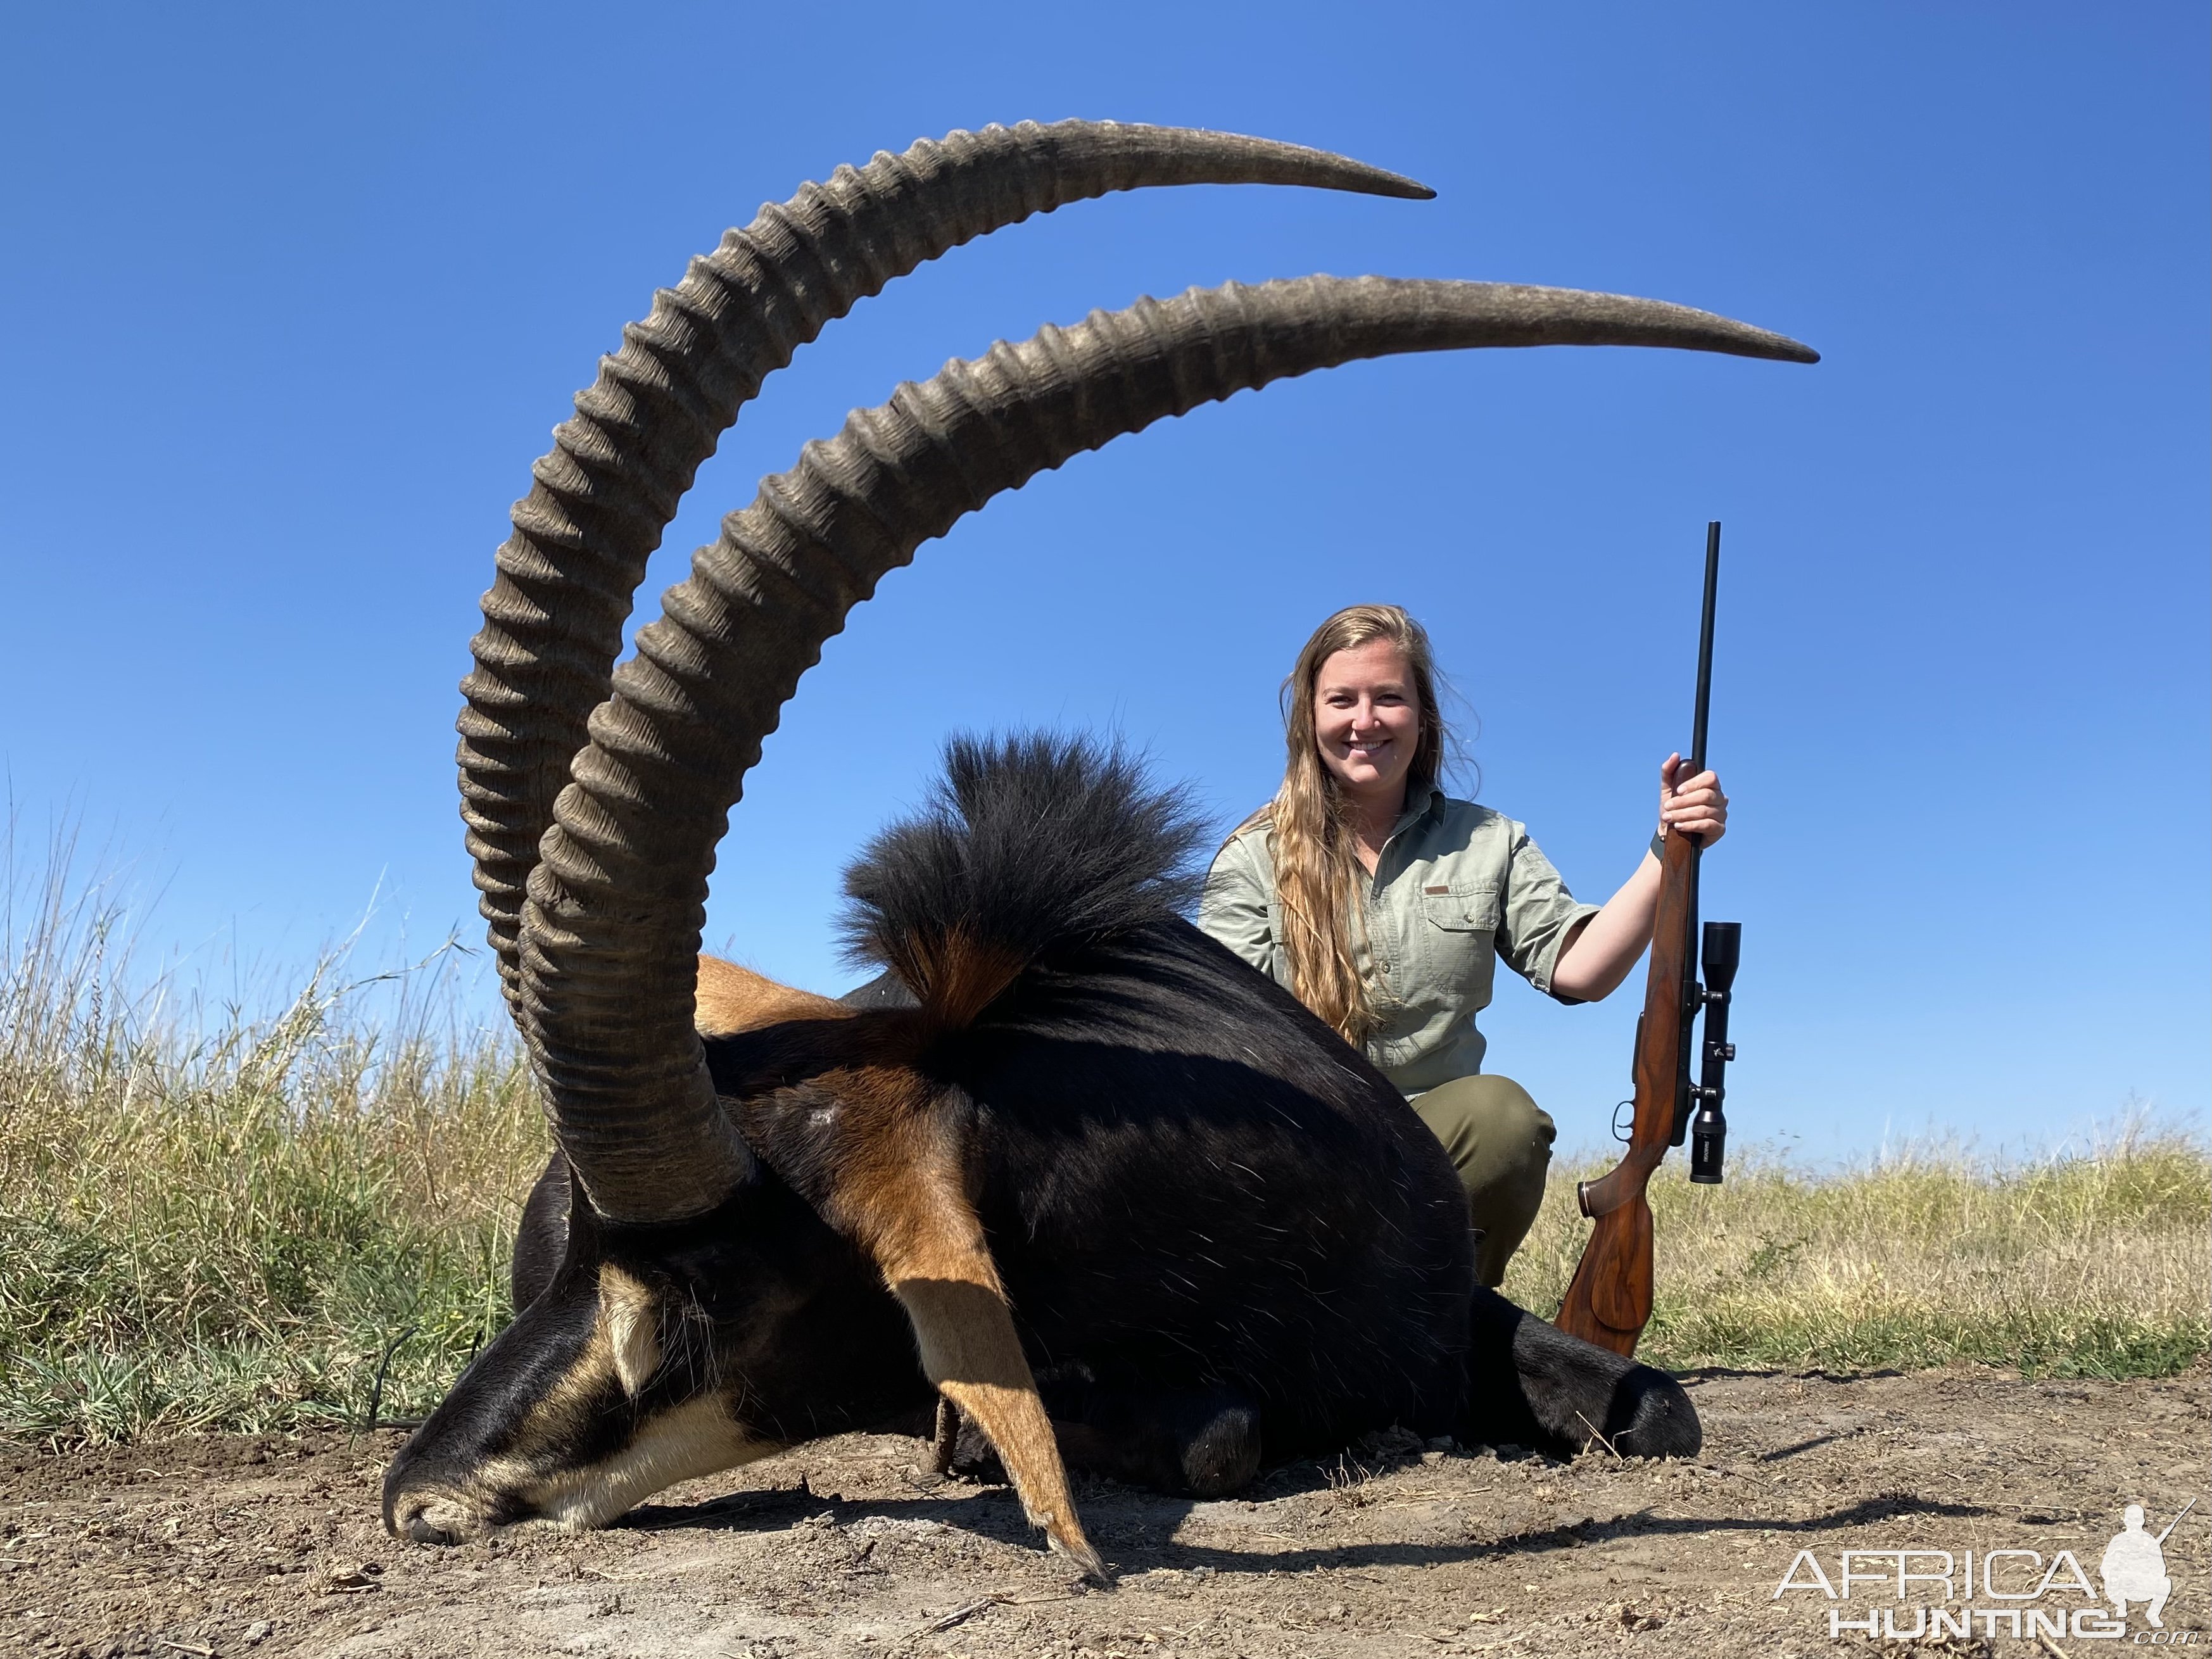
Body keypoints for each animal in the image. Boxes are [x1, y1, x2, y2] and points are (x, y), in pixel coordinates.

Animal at [389, 123, 1814, 1575]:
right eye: (587, 1249)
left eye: (709, 1292)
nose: (423, 1498)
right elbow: (1219, 1430)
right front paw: (978, 1439)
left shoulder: (1454, 1314)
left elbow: (1658, 1406)